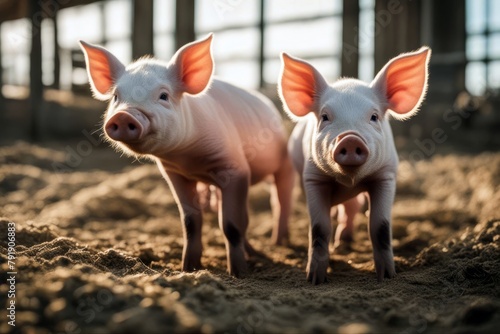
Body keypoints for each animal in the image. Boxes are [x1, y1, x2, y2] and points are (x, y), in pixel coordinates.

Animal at [80, 35, 294, 278]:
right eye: (116, 96)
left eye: (163, 96)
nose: (124, 116)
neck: (188, 157)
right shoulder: (175, 174)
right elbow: (190, 222)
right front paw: (189, 269)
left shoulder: (236, 168)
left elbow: (231, 225)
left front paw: (238, 273)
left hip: (283, 161)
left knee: (280, 200)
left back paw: (278, 243)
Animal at [280, 47, 432, 284]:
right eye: (325, 116)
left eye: (374, 116)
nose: (350, 139)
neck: (349, 180)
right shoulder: (312, 178)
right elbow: (319, 227)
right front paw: (314, 279)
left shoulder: (386, 175)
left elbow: (380, 226)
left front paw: (387, 276)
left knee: (352, 207)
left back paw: (345, 241)